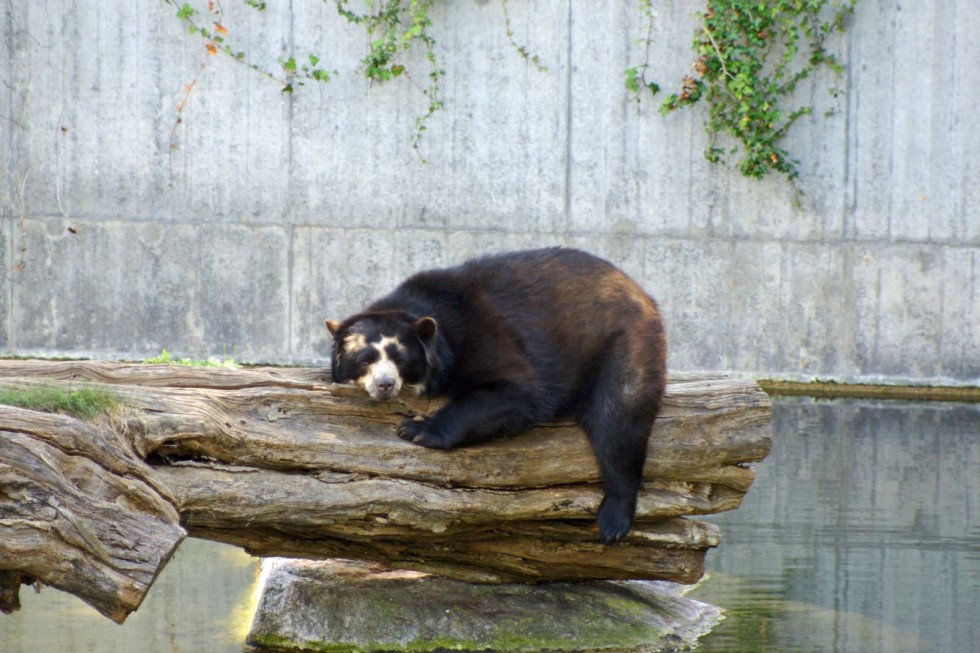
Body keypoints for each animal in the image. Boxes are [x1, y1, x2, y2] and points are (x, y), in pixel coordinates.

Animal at [326, 244, 668, 540]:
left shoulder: (480, 333)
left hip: (624, 345)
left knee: (619, 420)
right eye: (365, 359)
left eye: (399, 357)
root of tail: (643, 295)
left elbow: (518, 392)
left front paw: (417, 429)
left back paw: (613, 520)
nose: (385, 385)